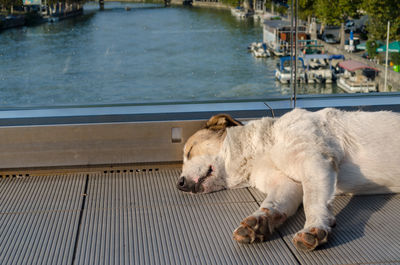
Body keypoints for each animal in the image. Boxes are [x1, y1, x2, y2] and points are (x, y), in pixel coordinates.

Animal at [177, 107, 400, 250]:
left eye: (189, 151)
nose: (179, 184)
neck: (262, 149)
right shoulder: (287, 183)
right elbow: (273, 203)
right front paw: (259, 222)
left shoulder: (315, 160)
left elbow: (312, 201)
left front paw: (315, 227)